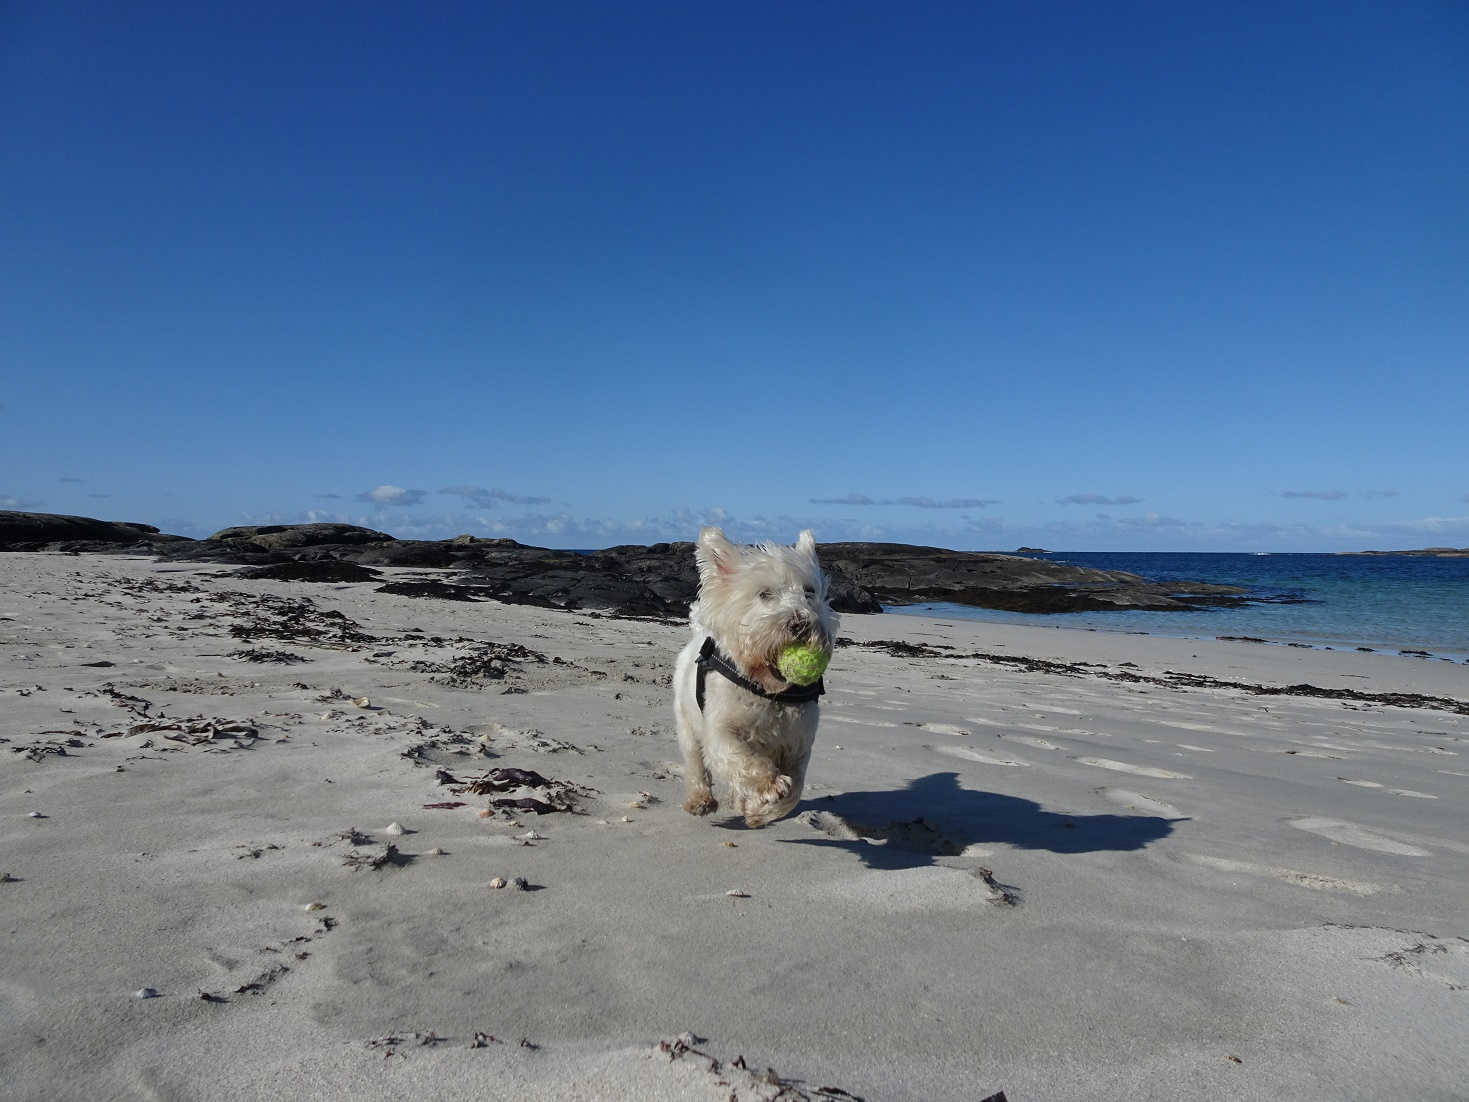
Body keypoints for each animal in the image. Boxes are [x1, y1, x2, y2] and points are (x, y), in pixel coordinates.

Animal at [672, 528, 840, 828]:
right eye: (764, 593)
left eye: (809, 592)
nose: (800, 624)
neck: (770, 691)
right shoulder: (721, 729)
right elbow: (742, 757)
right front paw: (770, 784)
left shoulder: (799, 744)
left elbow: (795, 790)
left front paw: (758, 813)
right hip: (687, 722)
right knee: (695, 764)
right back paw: (700, 800)